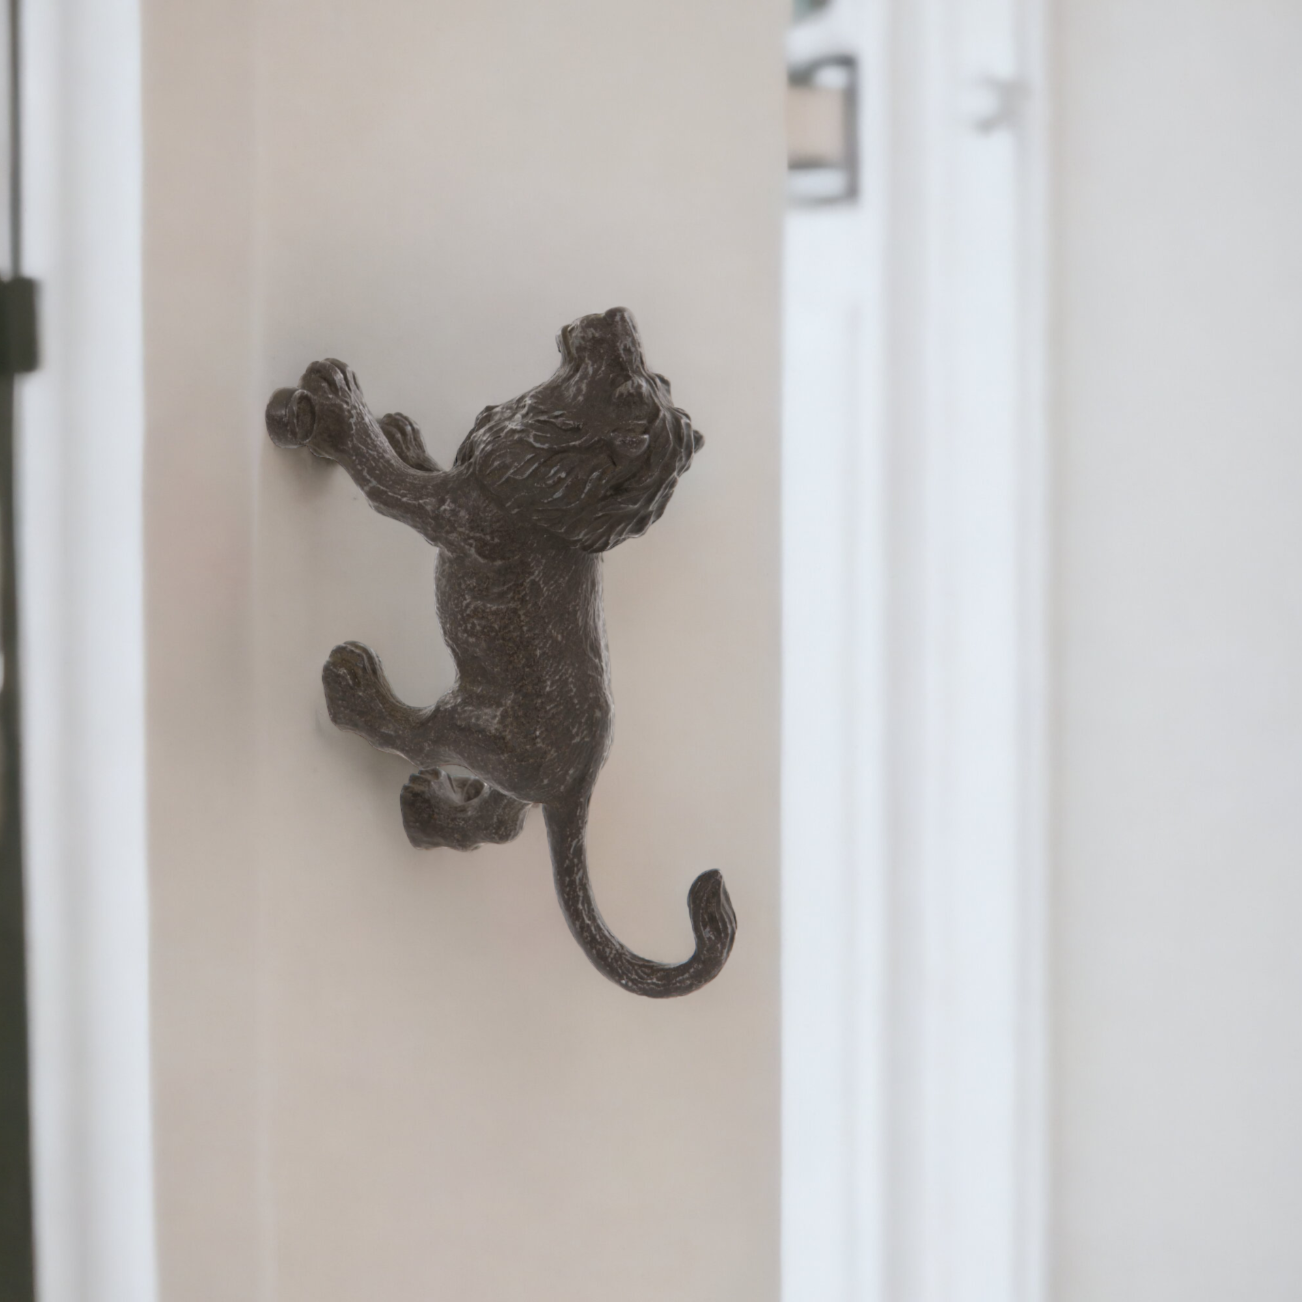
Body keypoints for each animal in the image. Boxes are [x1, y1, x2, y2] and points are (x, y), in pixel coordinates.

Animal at [265, 307, 736, 997]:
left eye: (630, 391)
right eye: (657, 380)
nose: (619, 316)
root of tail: (577, 786)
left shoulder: (453, 512)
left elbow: (385, 478)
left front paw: (337, 403)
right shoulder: (465, 479)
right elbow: (424, 460)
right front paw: (403, 431)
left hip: (473, 726)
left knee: (416, 736)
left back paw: (355, 691)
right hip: (510, 773)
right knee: (500, 822)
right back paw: (429, 810)